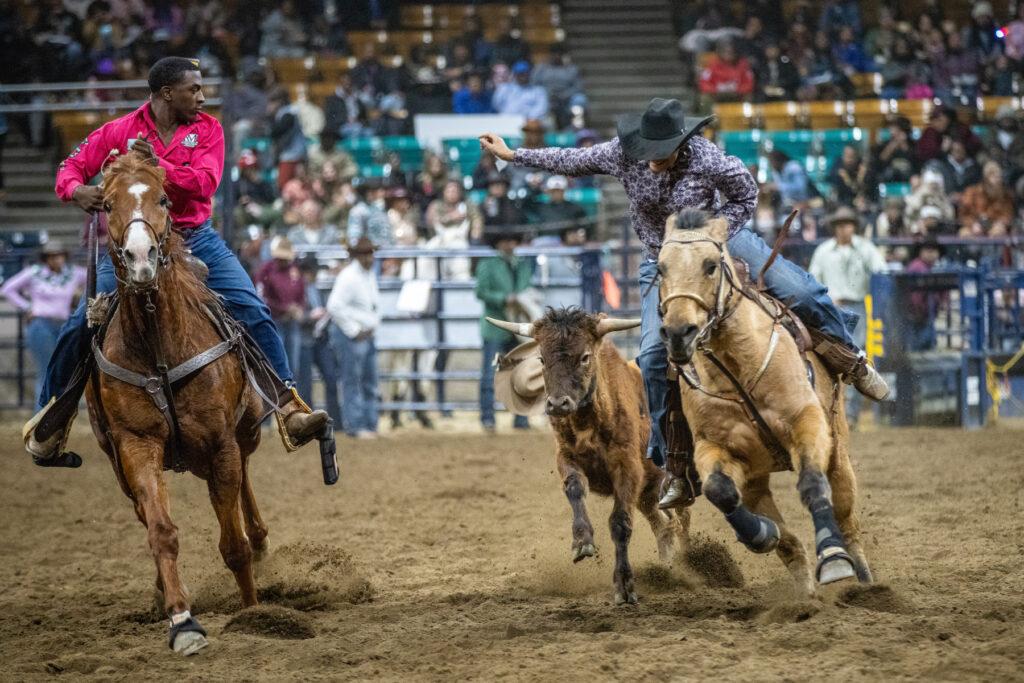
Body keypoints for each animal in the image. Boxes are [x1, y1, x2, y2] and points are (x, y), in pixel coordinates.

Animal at [87, 152, 268, 655]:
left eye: (164, 198)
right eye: (106, 204)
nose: (141, 258)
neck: (159, 346)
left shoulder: (221, 442)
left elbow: (233, 545)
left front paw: (254, 612)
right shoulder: (136, 445)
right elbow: (161, 532)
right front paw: (182, 621)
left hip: (243, 434)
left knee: (245, 484)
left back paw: (261, 543)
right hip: (123, 463)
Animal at [655, 210, 872, 593]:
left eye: (711, 265)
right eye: (661, 268)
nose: (679, 333)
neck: (739, 369)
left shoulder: (807, 422)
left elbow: (812, 483)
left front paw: (833, 559)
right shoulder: (715, 447)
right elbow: (720, 490)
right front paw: (760, 534)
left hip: (838, 450)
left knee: (846, 516)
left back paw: (861, 576)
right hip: (757, 479)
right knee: (789, 544)